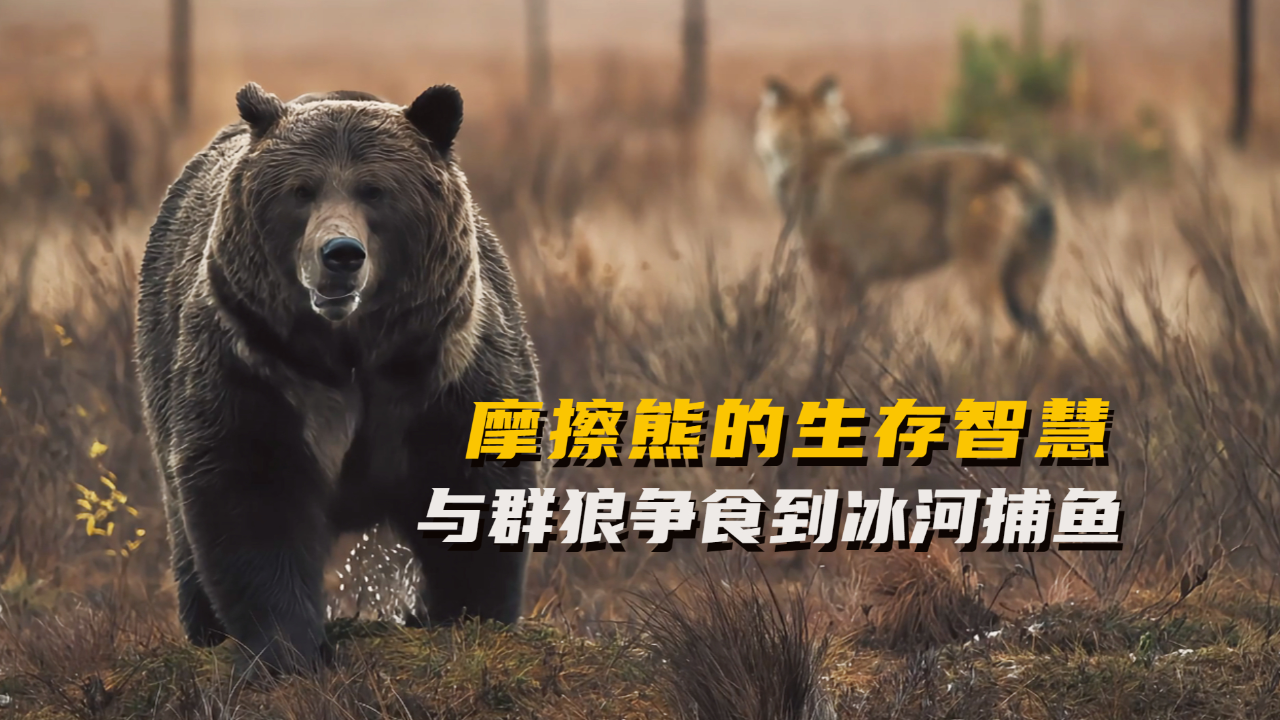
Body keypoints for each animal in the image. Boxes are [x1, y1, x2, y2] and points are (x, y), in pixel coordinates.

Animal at [134, 82, 545, 676]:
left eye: (374, 191)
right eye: (301, 191)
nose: (341, 254)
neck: (349, 350)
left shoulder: (444, 365)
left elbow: (475, 485)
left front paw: (471, 618)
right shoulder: (255, 364)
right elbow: (252, 491)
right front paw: (288, 649)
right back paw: (207, 628)